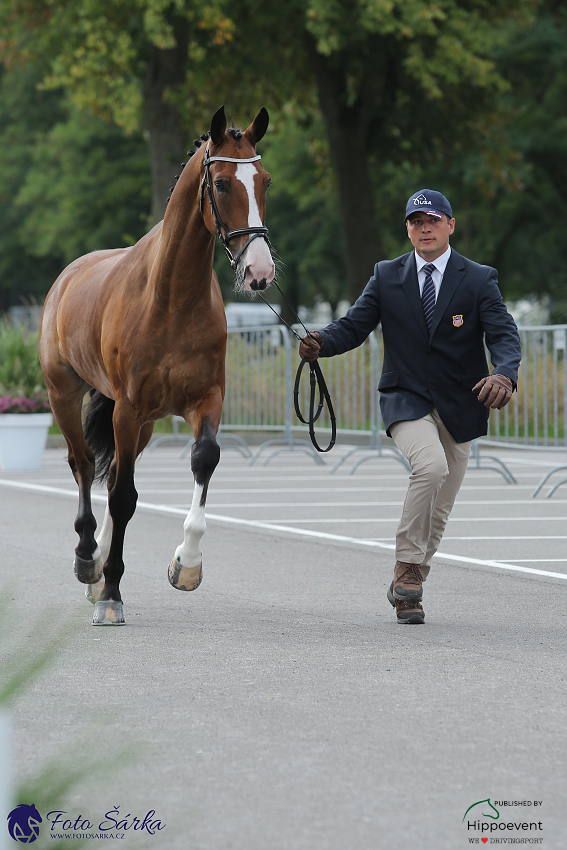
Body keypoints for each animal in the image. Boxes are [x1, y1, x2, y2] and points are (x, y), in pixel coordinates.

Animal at [39, 106, 276, 624]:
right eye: (222, 184)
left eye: (265, 181)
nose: (260, 272)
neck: (170, 301)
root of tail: (67, 276)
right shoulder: (127, 409)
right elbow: (124, 497)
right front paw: (111, 594)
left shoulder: (204, 400)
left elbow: (203, 460)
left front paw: (186, 565)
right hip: (65, 395)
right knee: (84, 466)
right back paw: (89, 561)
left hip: (143, 424)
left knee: (108, 476)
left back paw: (99, 569)